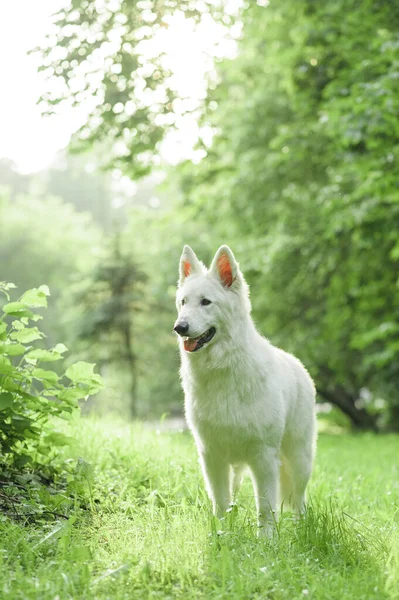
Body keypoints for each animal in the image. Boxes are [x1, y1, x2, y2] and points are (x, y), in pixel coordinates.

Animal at [173, 246, 318, 536]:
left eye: (206, 302)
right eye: (183, 302)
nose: (179, 327)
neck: (223, 370)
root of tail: (299, 365)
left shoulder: (263, 457)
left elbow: (266, 507)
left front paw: (267, 541)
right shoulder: (212, 456)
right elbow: (220, 502)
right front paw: (221, 535)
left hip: (298, 459)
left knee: (299, 500)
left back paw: (301, 531)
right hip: (239, 468)